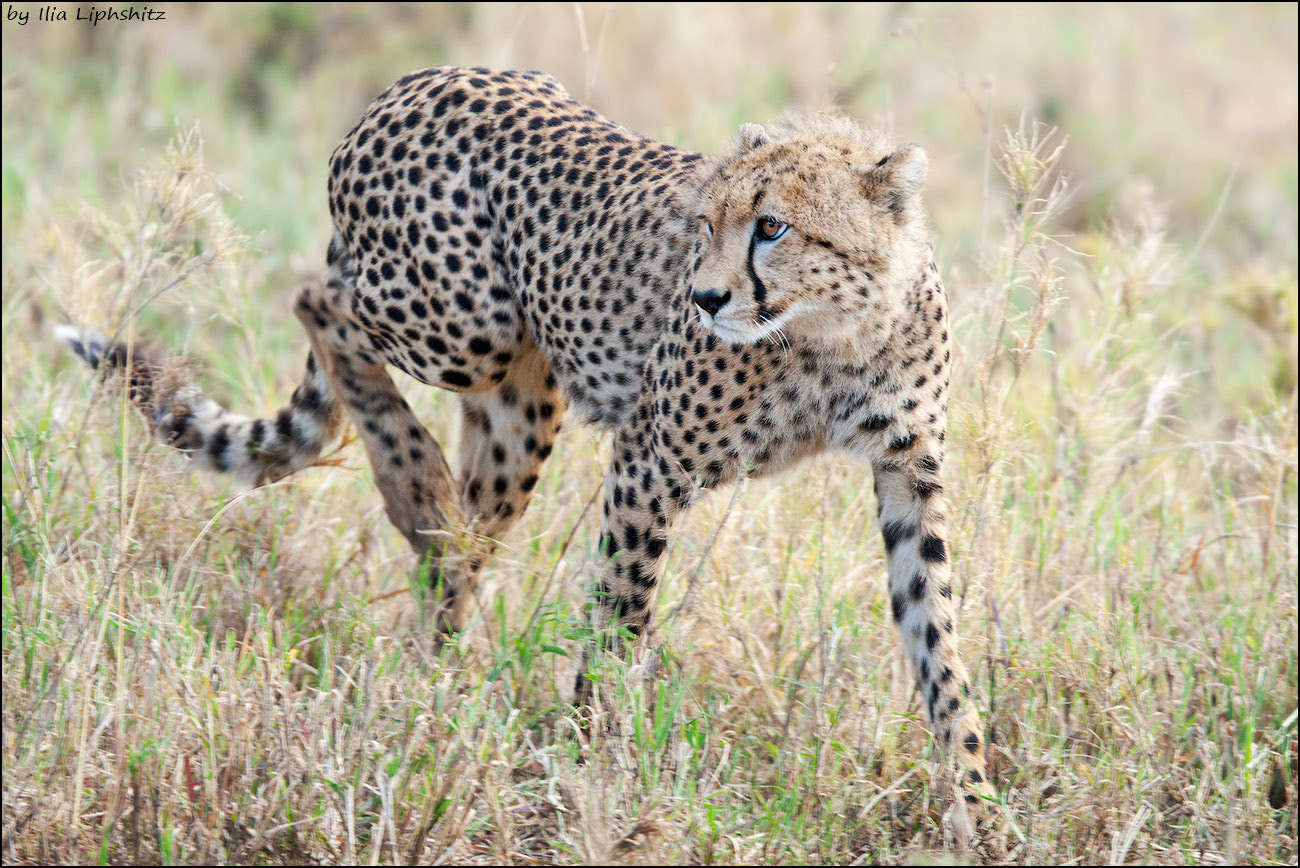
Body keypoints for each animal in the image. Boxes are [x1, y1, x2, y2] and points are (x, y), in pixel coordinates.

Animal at [58, 64, 993, 831]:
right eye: (704, 224)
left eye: (773, 227)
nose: (704, 297)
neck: (838, 335)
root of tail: (415, 83)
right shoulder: (651, 460)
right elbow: (619, 616)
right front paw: (590, 763)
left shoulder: (909, 473)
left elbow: (939, 641)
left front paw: (979, 810)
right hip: (464, 323)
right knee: (318, 297)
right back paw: (412, 483)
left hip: (520, 400)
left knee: (460, 542)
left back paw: (436, 667)